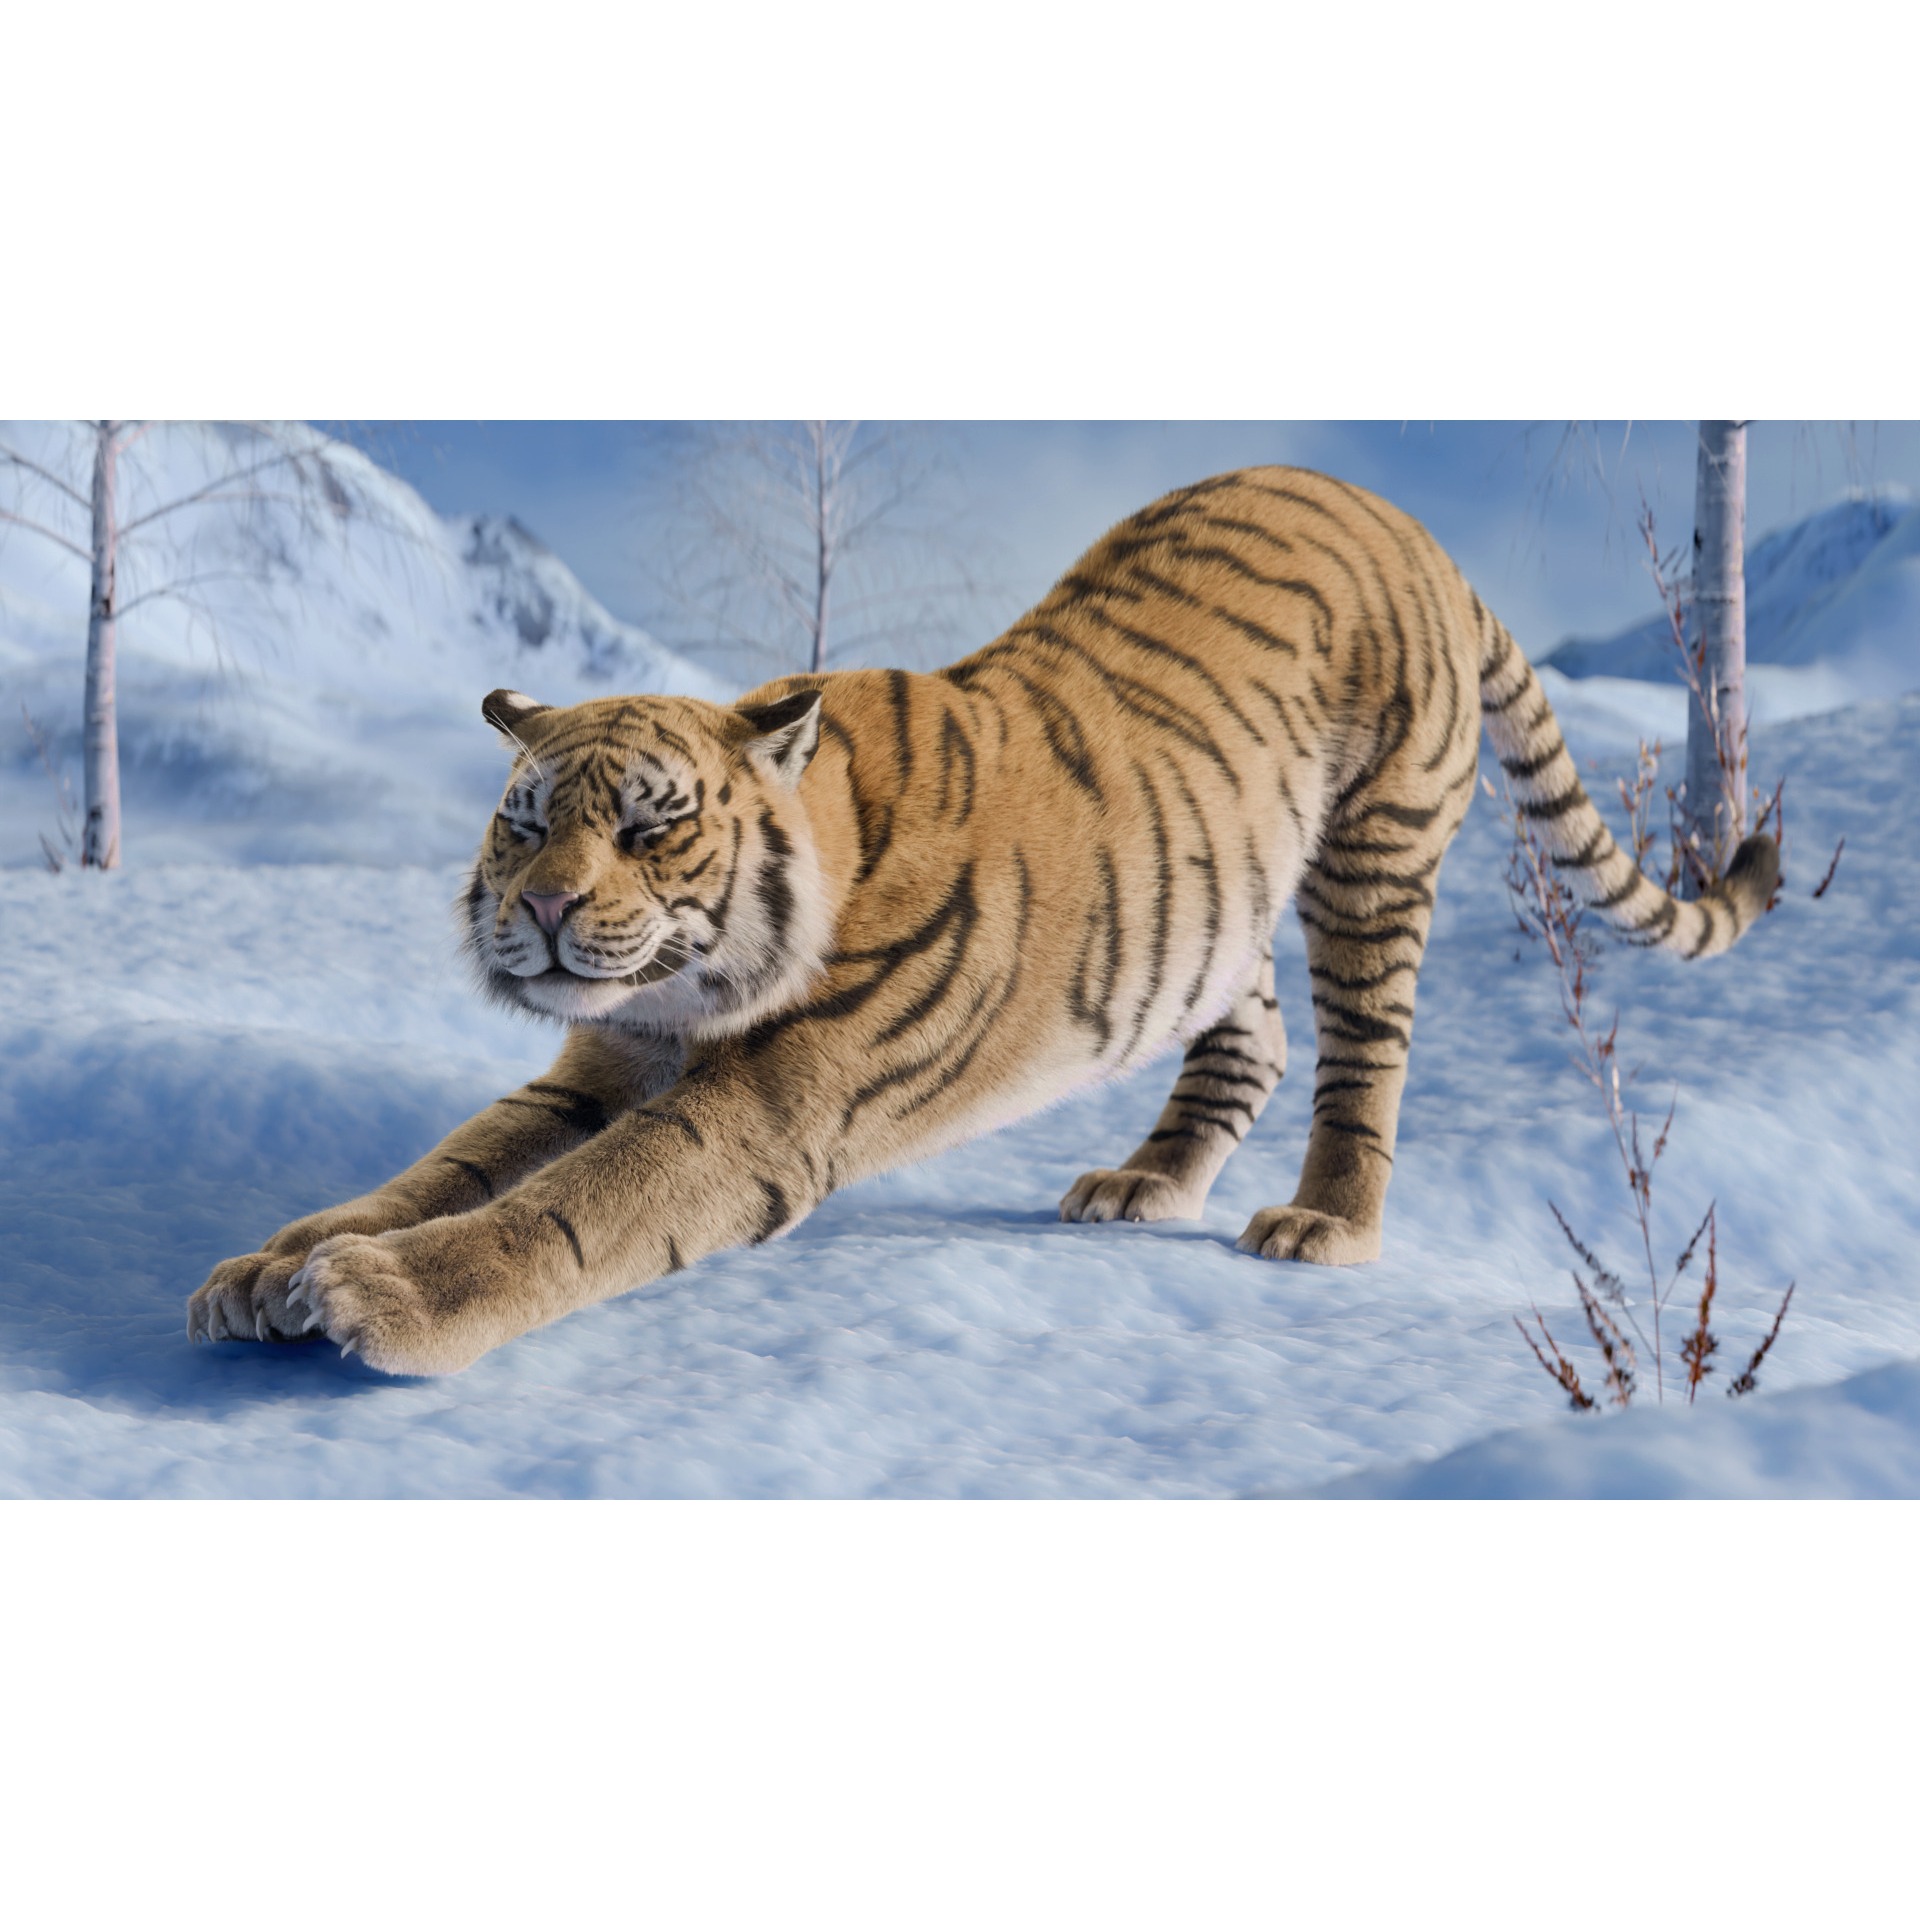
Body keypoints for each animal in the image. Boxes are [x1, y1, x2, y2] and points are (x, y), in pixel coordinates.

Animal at [187, 466, 1780, 1375]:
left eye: (647, 826)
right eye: (523, 821)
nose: (538, 909)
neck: (691, 992)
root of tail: (1407, 523)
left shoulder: (765, 1105)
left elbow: (571, 1212)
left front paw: (385, 1296)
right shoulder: (603, 1061)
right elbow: (455, 1162)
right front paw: (273, 1265)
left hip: (1374, 852)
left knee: (1364, 1051)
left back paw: (1324, 1223)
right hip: (1213, 894)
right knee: (1251, 1028)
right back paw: (1143, 1184)